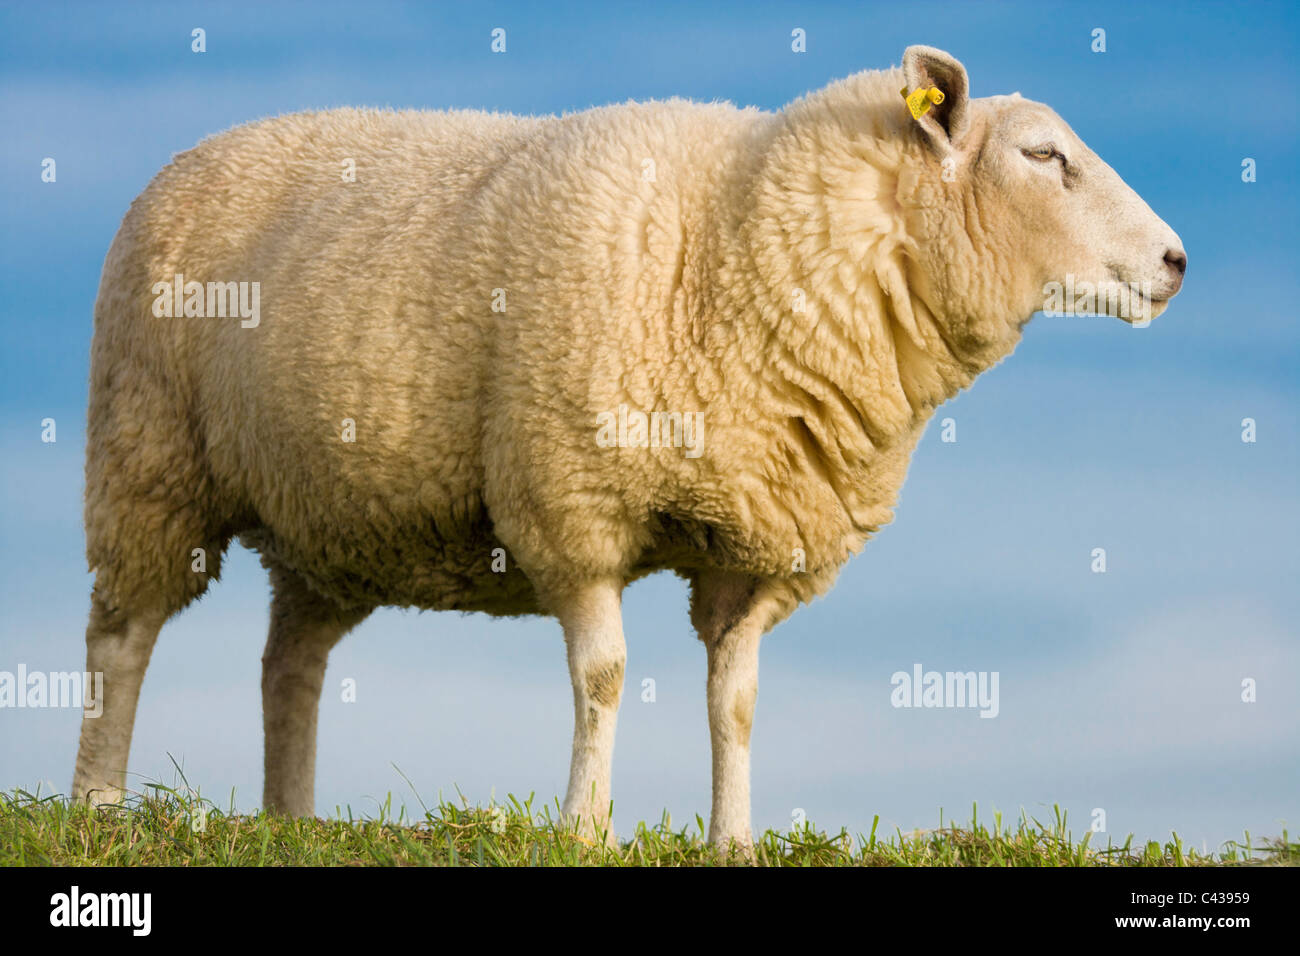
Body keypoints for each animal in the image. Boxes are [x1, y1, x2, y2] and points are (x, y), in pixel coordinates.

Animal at [76, 46, 1185, 853]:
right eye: (1043, 157)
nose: (1175, 260)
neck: (736, 247)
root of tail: (190, 154)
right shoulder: (571, 499)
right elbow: (604, 675)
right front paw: (584, 828)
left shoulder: (759, 543)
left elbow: (736, 699)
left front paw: (732, 840)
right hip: (147, 456)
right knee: (122, 637)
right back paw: (95, 802)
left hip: (329, 519)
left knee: (290, 665)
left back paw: (292, 820)